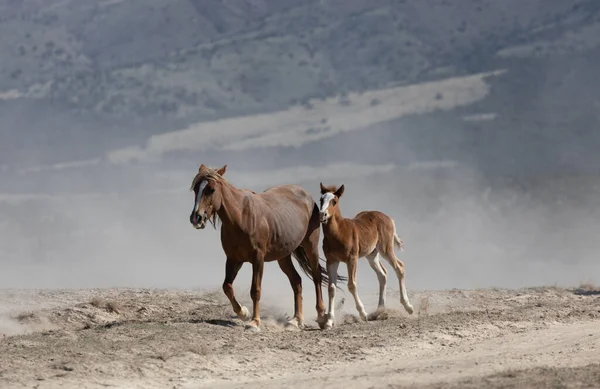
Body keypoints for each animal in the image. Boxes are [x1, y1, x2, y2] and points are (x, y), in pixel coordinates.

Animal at [188, 164, 342, 330]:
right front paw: (243, 313)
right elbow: (227, 286)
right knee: (296, 281)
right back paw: (295, 320)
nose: (196, 218)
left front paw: (254, 322)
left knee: (316, 277)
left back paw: (321, 317)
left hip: (310, 247)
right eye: (196, 189)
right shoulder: (233, 259)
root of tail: (308, 197)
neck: (241, 217)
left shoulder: (258, 258)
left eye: (211, 190)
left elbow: (255, 290)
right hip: (283, 257)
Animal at [318, 182, 412, 328]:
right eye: (321, 200)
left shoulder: (352, 259)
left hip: (386, 249)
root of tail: (389, 218)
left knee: (399, 267)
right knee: (382, 275)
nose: (322, 215)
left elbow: (351, 284)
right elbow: (331, 288)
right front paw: (328, 322)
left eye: (334, 201)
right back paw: (380, 310)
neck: (339, 233)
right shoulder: (331, 261)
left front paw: (363, 314)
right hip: (372, 255)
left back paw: (408, 307)